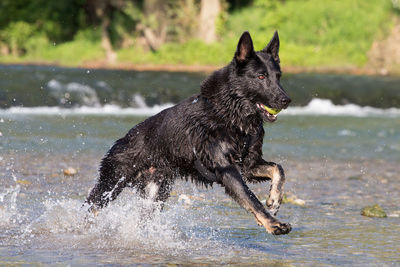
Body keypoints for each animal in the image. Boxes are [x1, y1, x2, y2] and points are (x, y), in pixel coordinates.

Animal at [86, 31, 290, 236]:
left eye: (278, 76)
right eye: (261, 76)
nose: (286, 100)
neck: (230, 114)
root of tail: (121, 140)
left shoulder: (249, 166)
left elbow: (278, 169)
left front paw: (274, 200)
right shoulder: (226, 169)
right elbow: (251, 198)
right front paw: (273, 223)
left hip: (155, 194)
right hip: (111, 184)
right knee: (91, 207)